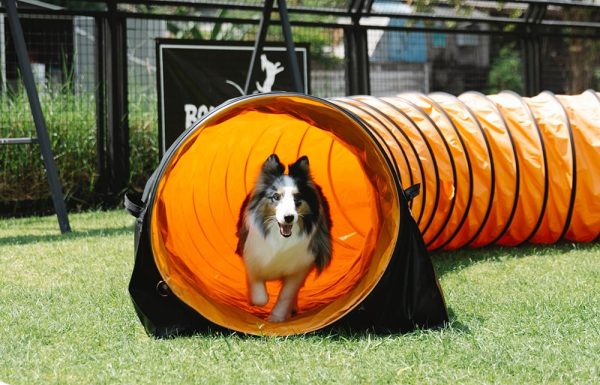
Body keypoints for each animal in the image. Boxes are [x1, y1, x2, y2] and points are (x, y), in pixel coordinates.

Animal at [237, 153, 332, 320]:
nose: (288, 218)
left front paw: (276, 318)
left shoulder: (299, 268)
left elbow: (286, 295)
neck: (280, 238)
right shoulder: (252, 257)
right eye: (276, 196)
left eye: (297, 198)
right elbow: (260, 297)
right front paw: (252, 301)